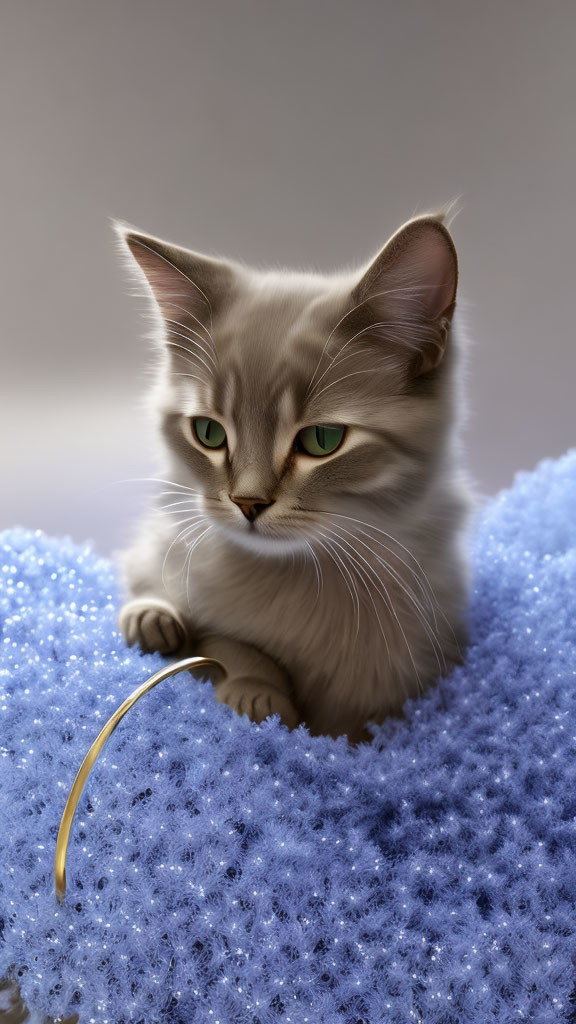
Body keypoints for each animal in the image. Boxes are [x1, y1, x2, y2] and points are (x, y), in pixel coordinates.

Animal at [117, 214, 471, 745]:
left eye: (323, 440)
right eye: (208, 433)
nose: (246, 502)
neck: (303, 579)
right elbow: (225, 645)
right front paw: (257, 695)